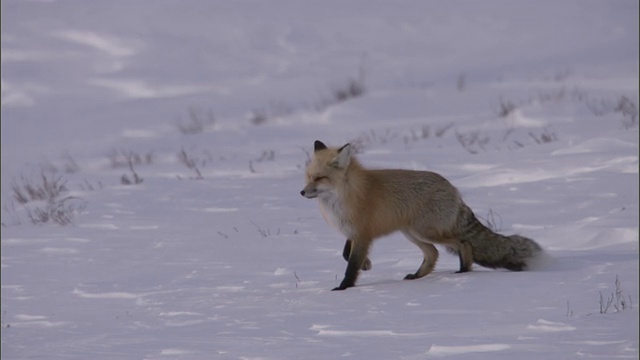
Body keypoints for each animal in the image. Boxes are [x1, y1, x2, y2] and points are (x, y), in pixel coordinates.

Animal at [302, 139, 544, 292]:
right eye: (308, 177)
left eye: (320, 178)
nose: (302, 192)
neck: (344, 197)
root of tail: (453, 188)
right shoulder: (353, 233)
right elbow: (345, 254)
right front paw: (367, 265)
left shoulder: (363, 234)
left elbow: (351, 265)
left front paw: (344, 287)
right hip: (412, 234)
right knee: (433, 253)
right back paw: (418, 276)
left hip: (425, 232)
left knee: (463, 243)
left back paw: (464, 270)